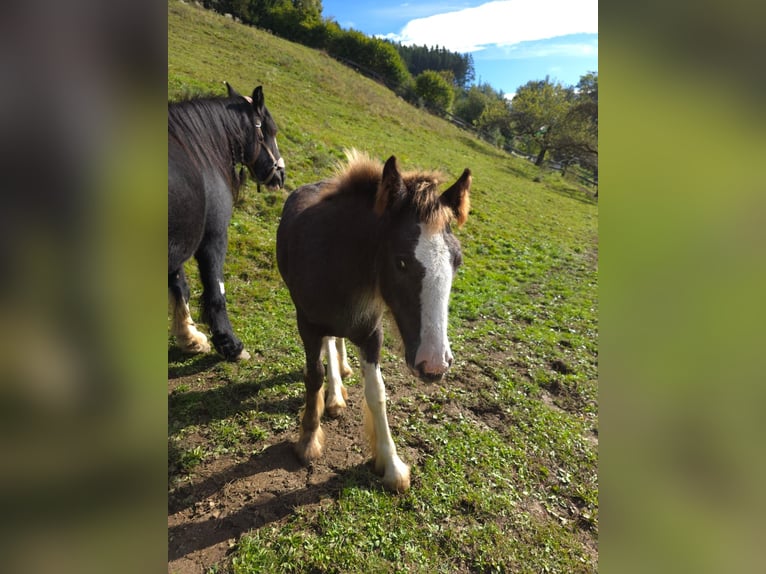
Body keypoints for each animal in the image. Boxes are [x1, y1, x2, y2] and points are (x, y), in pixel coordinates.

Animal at [168, 83, 285, 361]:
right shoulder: (213, 237)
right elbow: (216, 292)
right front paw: (229, 344)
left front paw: (190, 337)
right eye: (272, 131)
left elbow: (180, 286)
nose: (281, 175)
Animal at [276, 150, 471, 491]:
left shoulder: (371, 333)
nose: (435, 364)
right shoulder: (308, 325)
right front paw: (308, 440)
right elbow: (314, 376)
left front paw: (391, 464)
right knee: (330, 342)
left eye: (457, 261)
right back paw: (334, 394)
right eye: (401, 261)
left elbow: (377, 392)